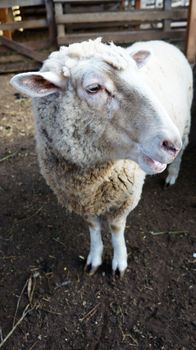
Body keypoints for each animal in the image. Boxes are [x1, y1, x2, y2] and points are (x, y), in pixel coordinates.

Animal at [9, 39, 192, 276]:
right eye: (94, 88)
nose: (171, 144)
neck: (93, 180)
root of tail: (163, 41)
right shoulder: (81, 199)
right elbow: (93, 226)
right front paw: (94, 259)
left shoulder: (126, 196)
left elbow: (115, 227)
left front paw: (119, 262)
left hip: (186, 123)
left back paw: (172, 175)